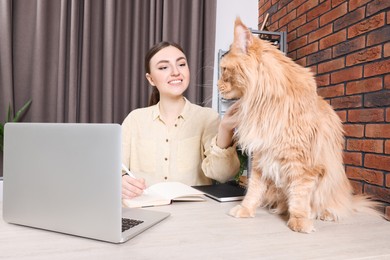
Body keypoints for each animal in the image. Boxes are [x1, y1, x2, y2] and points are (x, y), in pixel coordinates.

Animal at [219, 18, 380, 234]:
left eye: (223, 70)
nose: (217, 85)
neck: (264, 105)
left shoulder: (303, 164)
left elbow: (299, 196)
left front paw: (300, 221)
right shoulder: (261, 157)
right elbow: (253, 190)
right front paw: (245, 210)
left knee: (336, 206)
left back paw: (324, 214)